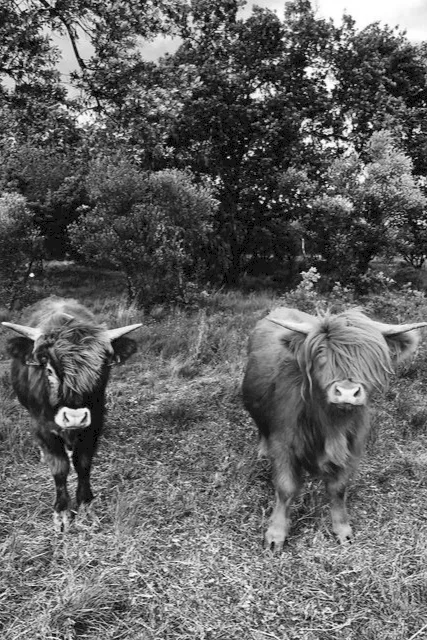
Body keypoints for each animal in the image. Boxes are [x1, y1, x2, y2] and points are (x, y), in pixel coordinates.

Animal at [2, 297, 142, 532]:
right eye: (49, 370)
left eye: (102, 370)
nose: (75, 417)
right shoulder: (42, 427)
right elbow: (60, 468)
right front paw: (62, 511)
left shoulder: (94, 426)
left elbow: (83, 464)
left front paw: (86, 506)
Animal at [242, 306, 427, 550]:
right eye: (321, 352)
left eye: (371, 355)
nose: (347, 392)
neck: (331, 424)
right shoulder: (283, 444)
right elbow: (285, 488)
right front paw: (275, 534)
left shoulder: (351, 448)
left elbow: (338, 489)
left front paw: (342, 530)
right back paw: (262, 450)